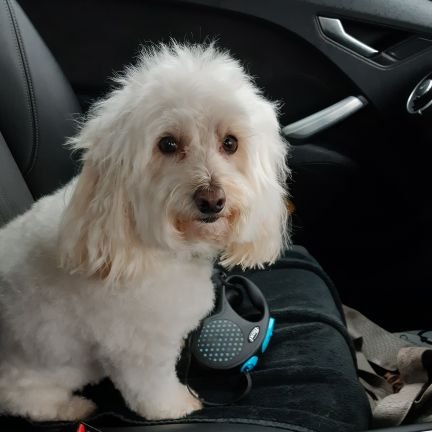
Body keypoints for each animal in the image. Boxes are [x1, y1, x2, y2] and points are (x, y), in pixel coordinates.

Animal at [0, 43, 290, 422]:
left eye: (230, 143)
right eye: (167, 144)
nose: (212, 200)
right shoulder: (138, 348)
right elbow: (151, 389)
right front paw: (177, 406)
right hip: (32, 377)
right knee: (28, 401)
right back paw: (73, 407)